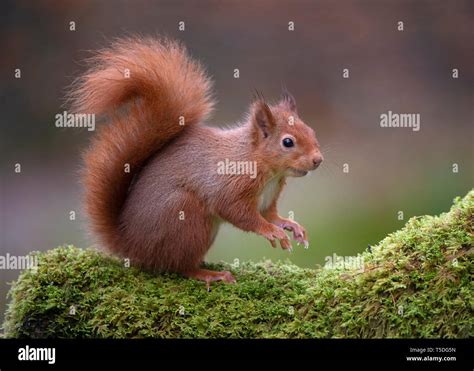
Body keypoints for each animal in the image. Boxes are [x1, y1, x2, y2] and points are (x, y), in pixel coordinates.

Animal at [69, 36, 322, 290]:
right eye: (288, 142)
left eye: (311, 131)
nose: (318, 160)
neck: (267, 169)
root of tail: (130, 244)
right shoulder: (231, 183)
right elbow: (238, 212)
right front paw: (270, 231)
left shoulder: (267, 198)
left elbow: (270, 214)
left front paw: (290, 226)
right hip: (187, 216)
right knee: (178, 266)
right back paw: (209, 274)